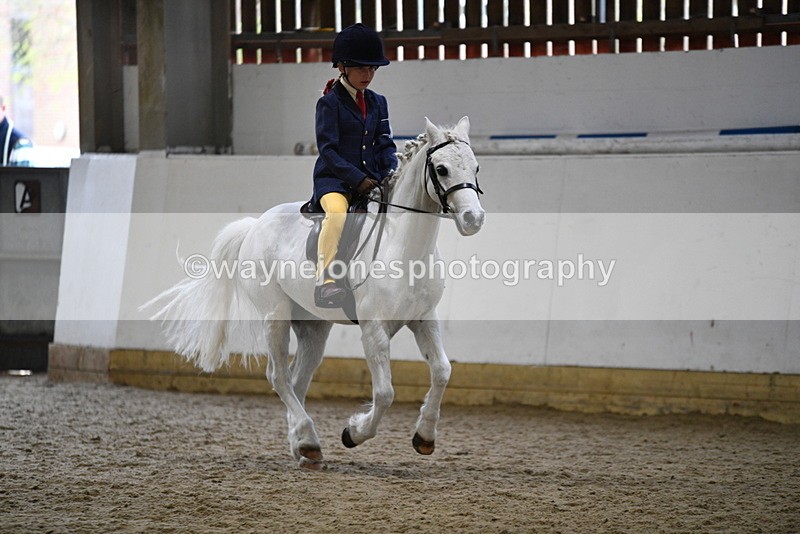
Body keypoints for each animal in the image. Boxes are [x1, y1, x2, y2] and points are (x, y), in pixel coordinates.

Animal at [146, 116, 486, 469]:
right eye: (442, 169)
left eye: (475, 167)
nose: (473, 219)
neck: (403, 246)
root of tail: (255, 225)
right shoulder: (374, 330)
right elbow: (385, 393)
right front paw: (354, 432)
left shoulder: (424, 319)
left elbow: (443, 372)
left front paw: (425, 436)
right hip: (275, 317)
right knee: (279, 377)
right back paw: (308, 439)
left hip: (313, 327)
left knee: (297, 380)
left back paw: (301, 443)